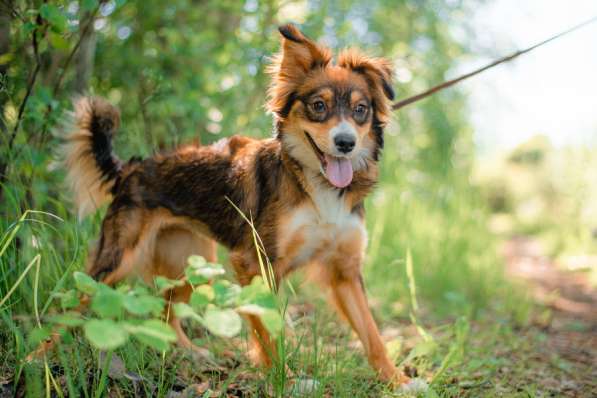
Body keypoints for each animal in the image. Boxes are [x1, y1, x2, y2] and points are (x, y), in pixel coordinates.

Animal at [62, 24, 412, 386]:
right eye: (318, 105)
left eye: (360, 109)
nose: (345, 143)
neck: (319, 186)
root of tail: (130, 169)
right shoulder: (255, 262)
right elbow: (268, 330)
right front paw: (284, 379)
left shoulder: (345, 269)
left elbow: (372, 334)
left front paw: (399, 381)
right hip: (117, 261)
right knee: (65, 312)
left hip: (192, 263)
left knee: (166, 311)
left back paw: (192, 353)